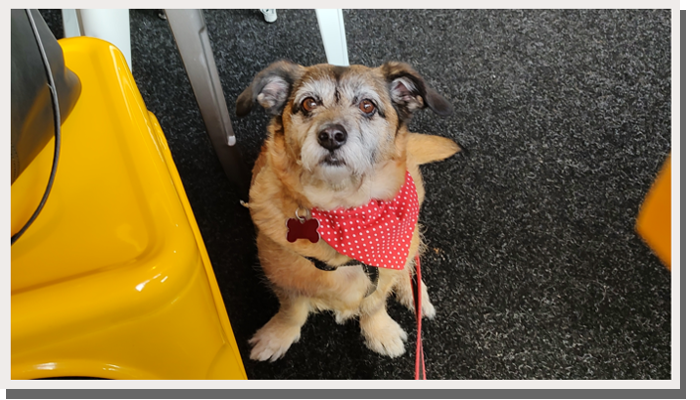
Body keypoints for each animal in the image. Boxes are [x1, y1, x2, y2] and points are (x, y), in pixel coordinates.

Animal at [238, 60, 462, 362]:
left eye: (367, 106)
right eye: (308, 103)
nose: (331, 136)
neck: (341, 207)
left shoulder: (383, 267)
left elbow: (375, 303)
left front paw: (379, 331)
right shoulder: (282, 277)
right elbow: (291, 310)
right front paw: (277, 335)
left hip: (411, 229)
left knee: (408, 260)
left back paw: (415, 295)